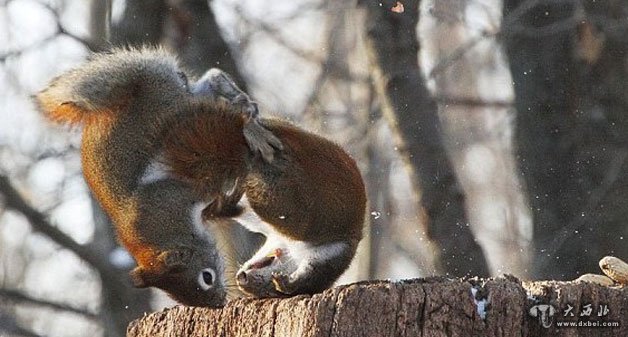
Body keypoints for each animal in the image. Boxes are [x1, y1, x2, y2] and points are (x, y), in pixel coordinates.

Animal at [34, 47, 280, 308]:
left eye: (207, 277)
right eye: (175, 295)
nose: (217, 303)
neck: (164, 231)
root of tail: (139, 83)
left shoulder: (177, 195)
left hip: (173, 105)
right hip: (182, 96)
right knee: (208, 80)